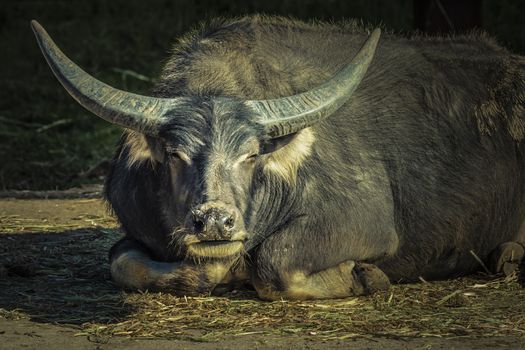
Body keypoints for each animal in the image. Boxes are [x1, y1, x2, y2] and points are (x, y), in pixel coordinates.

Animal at [32, 16, 524, 300]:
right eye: (174, 154)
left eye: (251, 155)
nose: (215, 222)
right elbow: (124, 263)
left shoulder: (365, 224)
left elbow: (276, 264)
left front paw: (367, 277)